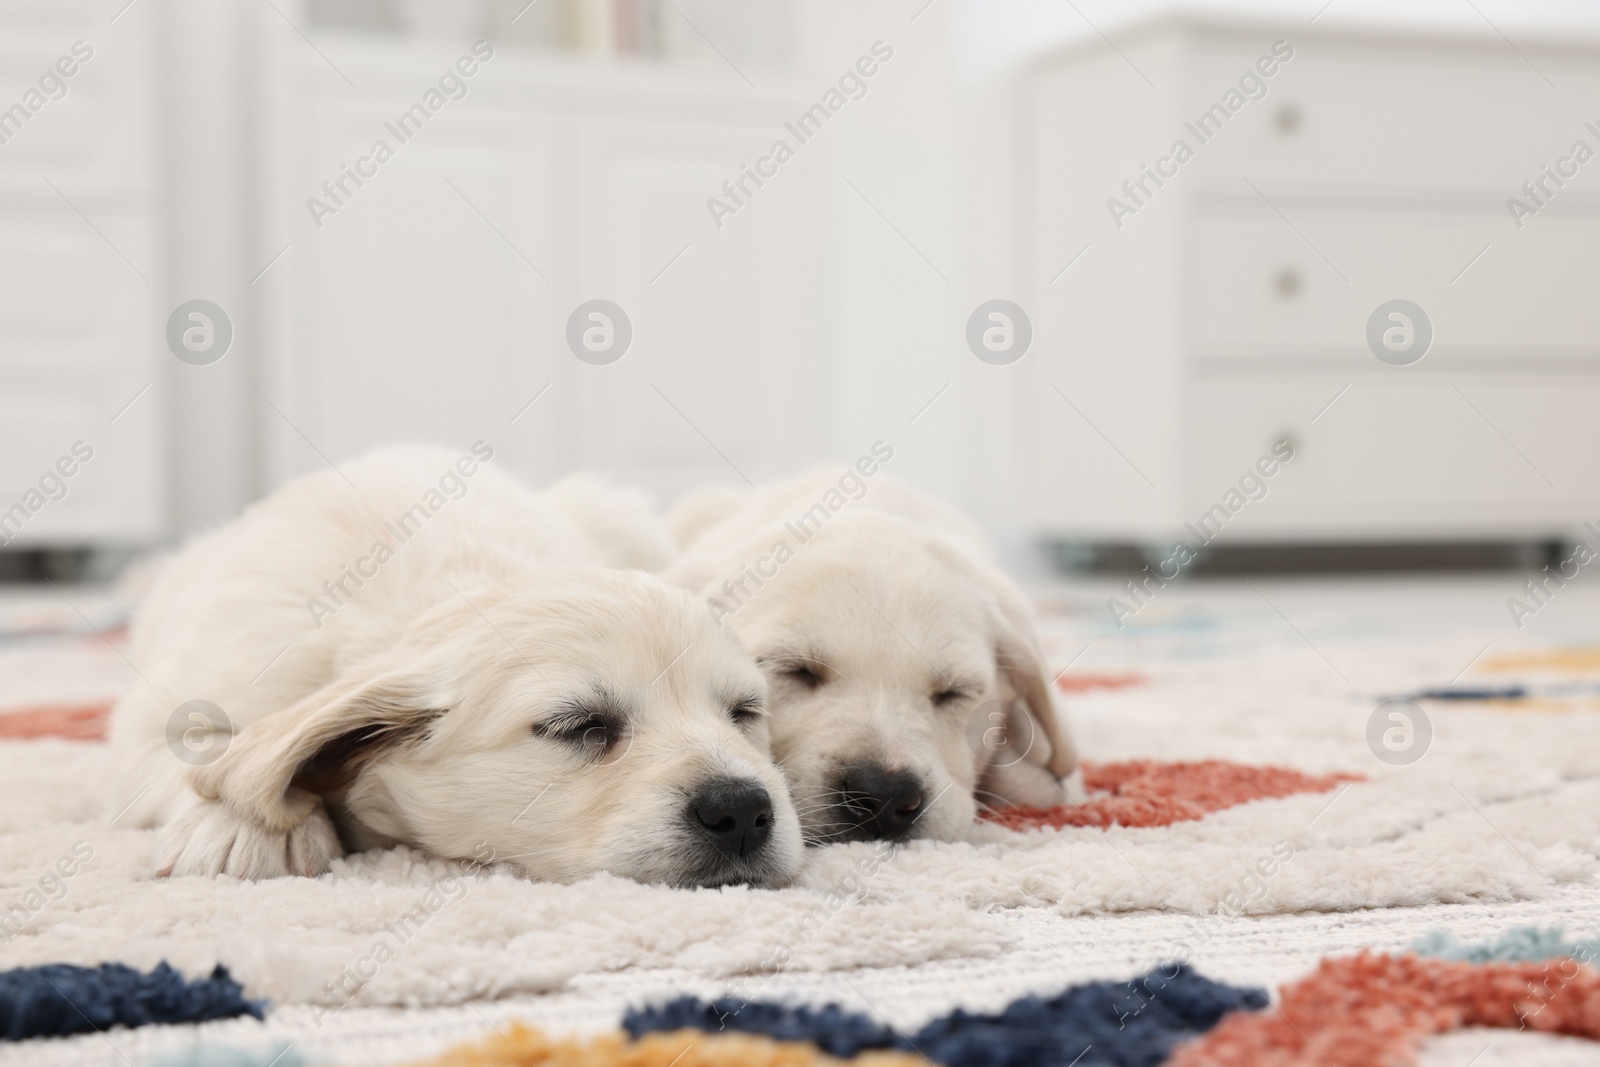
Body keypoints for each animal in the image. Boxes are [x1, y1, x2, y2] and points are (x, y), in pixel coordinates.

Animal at [104, 447, 800, 889]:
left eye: (744, 713)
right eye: (580, 726)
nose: (742, 810)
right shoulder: (156, 713)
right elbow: (193, 750)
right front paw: (243, 828)